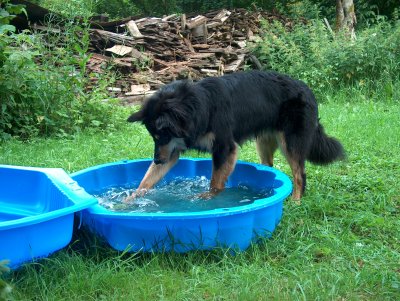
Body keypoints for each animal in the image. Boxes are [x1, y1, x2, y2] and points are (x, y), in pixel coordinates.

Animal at [126, 70, 344, 202]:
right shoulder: (172, 151)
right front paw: (130, 200)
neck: (198, 106)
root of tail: (307, 89)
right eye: (154, 137)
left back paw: (296, 200)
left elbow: (215, 182)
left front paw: (207, 198)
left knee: (300, 175)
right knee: (269, 167)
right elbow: (147, 179)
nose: (157, 159)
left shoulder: (225, 148)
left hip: (290, 142)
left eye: (160, 136)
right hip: (264, 143)